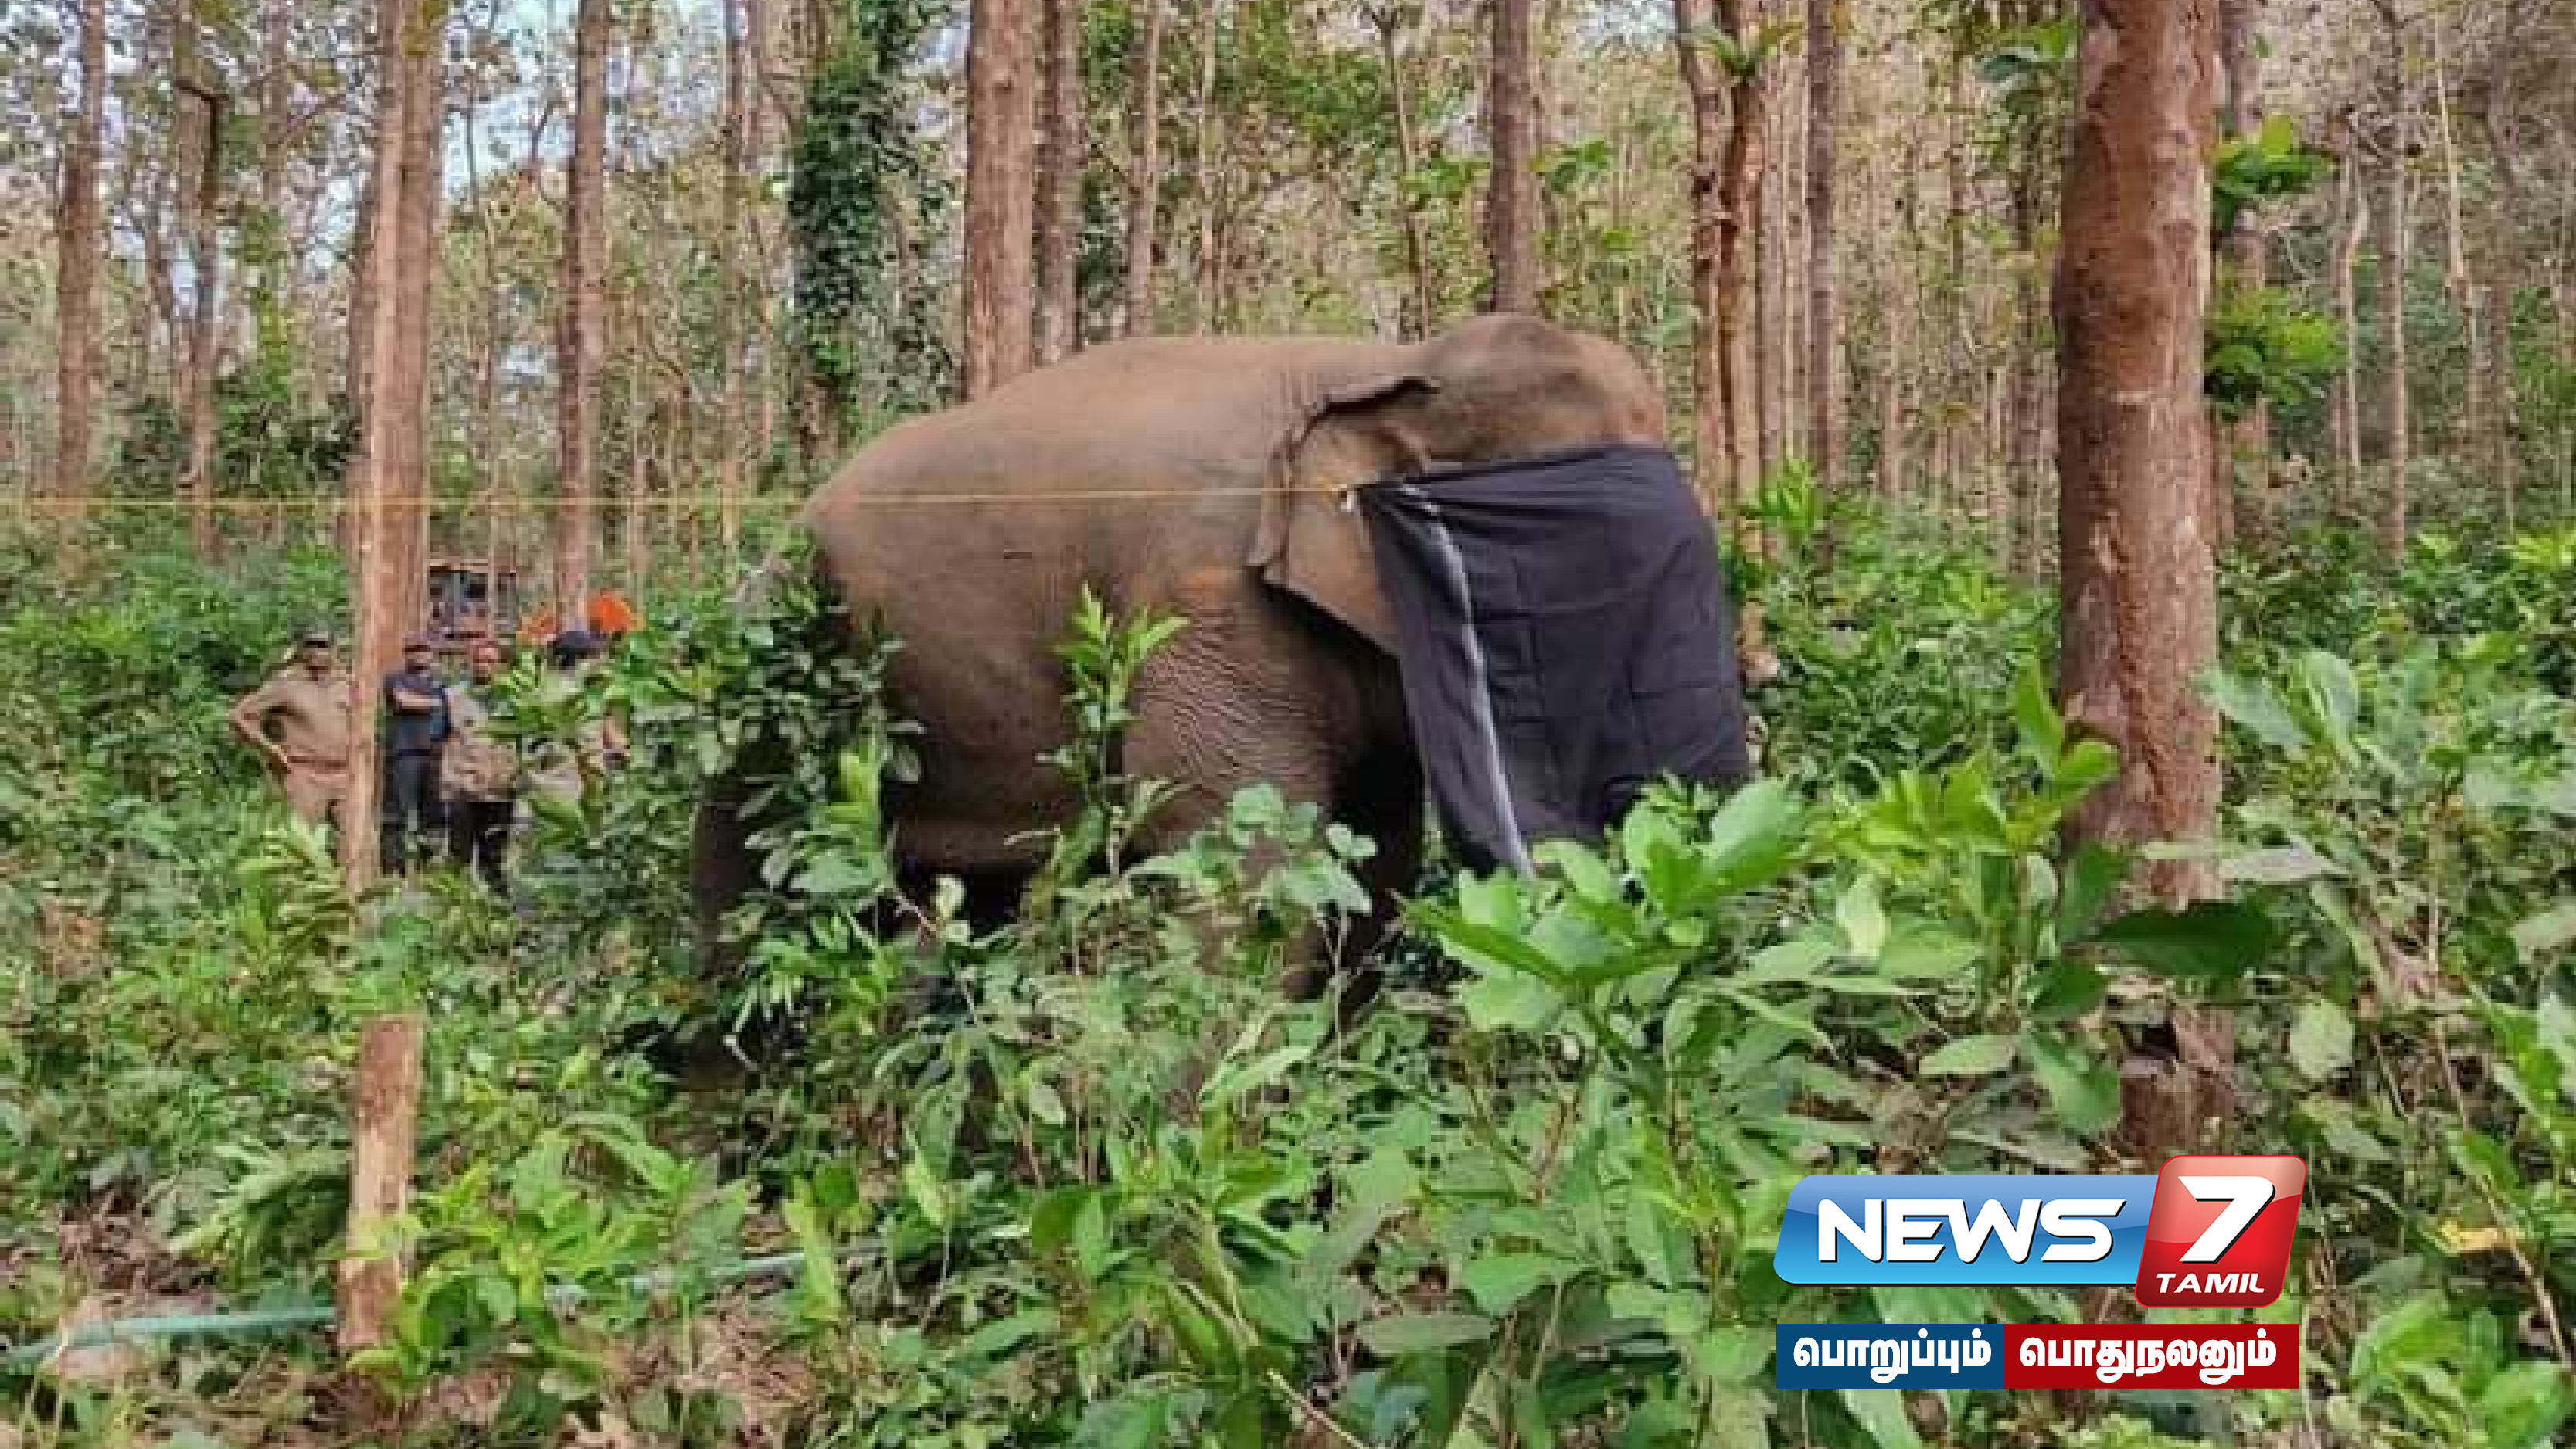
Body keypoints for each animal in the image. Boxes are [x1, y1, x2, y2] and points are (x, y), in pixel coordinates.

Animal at [690, 312, 1681, 1001]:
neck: (1386, 361)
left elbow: (1375, 867)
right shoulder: (1210, 603)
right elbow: (1243, 868)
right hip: (778, 674)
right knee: (742, 890)